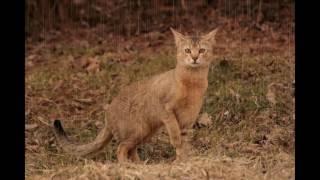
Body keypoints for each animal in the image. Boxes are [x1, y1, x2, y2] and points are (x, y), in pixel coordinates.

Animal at [53, 27, 219, 163]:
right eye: (187, 51)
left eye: (202, 50)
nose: (195, 58)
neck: (193, 83)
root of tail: (107, 116)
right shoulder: (165, 109)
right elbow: (174, 133)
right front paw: (177, 149)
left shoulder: (186, 121)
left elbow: (183, 146)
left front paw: (181, 162)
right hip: (138, 130)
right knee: (120, 148)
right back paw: (126, 166)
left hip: (146, 132)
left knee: (130, 150)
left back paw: (140, 165)